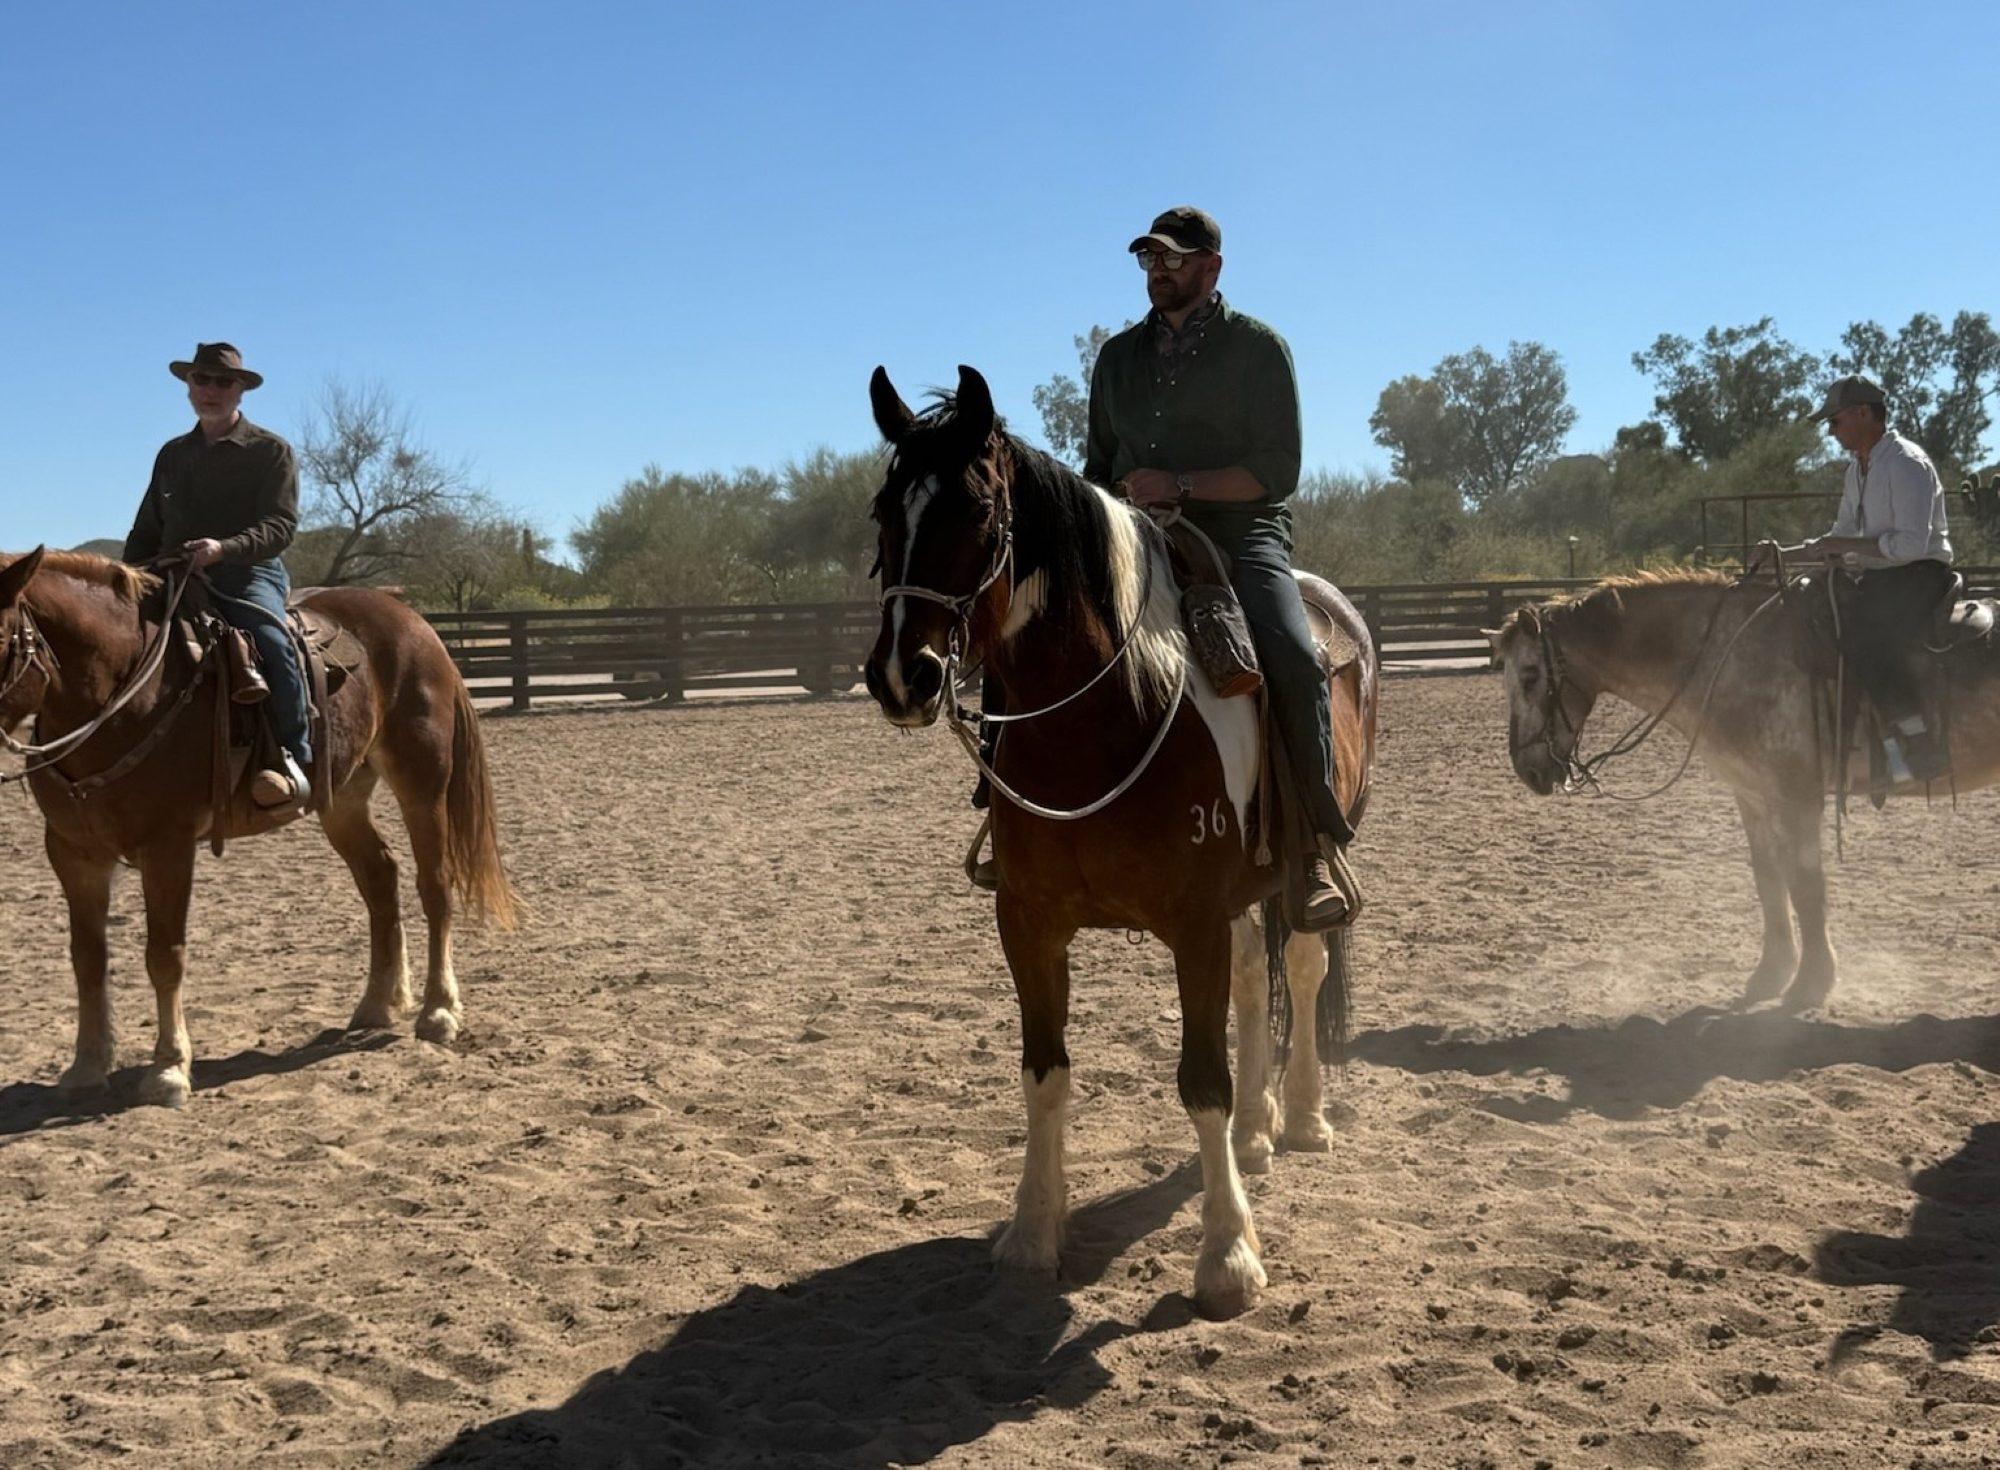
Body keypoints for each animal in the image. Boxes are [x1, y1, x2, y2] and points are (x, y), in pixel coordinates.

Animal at [0, 547, 517, 1108]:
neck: (122, 699)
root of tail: (416, 623)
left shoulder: (168, 848)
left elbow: (164, 955)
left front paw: (169, 1069)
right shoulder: (73, 855)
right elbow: (87, 959)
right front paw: (86, 1067)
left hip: (422, 783)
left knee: (434, 885)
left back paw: (438, 1012)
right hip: (343, 799)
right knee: (381, 879)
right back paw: (376, 1005)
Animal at [861, 365, 1377, 1318]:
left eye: (976, 511)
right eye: (885, 509)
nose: (901, 676)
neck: (1106, 714)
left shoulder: (1194, 922)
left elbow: (1200, 1080)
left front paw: (1227, 1258)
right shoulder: (1028, 924)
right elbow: (1045, 1072)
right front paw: (1032, 1235)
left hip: (1306, 870)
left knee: (1304, 964)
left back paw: (1303, 1117)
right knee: (1257, 979)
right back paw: (1257, 1134)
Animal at [1486, 567, 2000, 1012]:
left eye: (1530, 676)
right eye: (1505, 679)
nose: (1528, 770)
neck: (1733, 655)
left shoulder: (1797, 798)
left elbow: (1806, 887)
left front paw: (1811, 983)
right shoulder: (1753, 798)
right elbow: (1768, 883)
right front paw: (1770, 974)